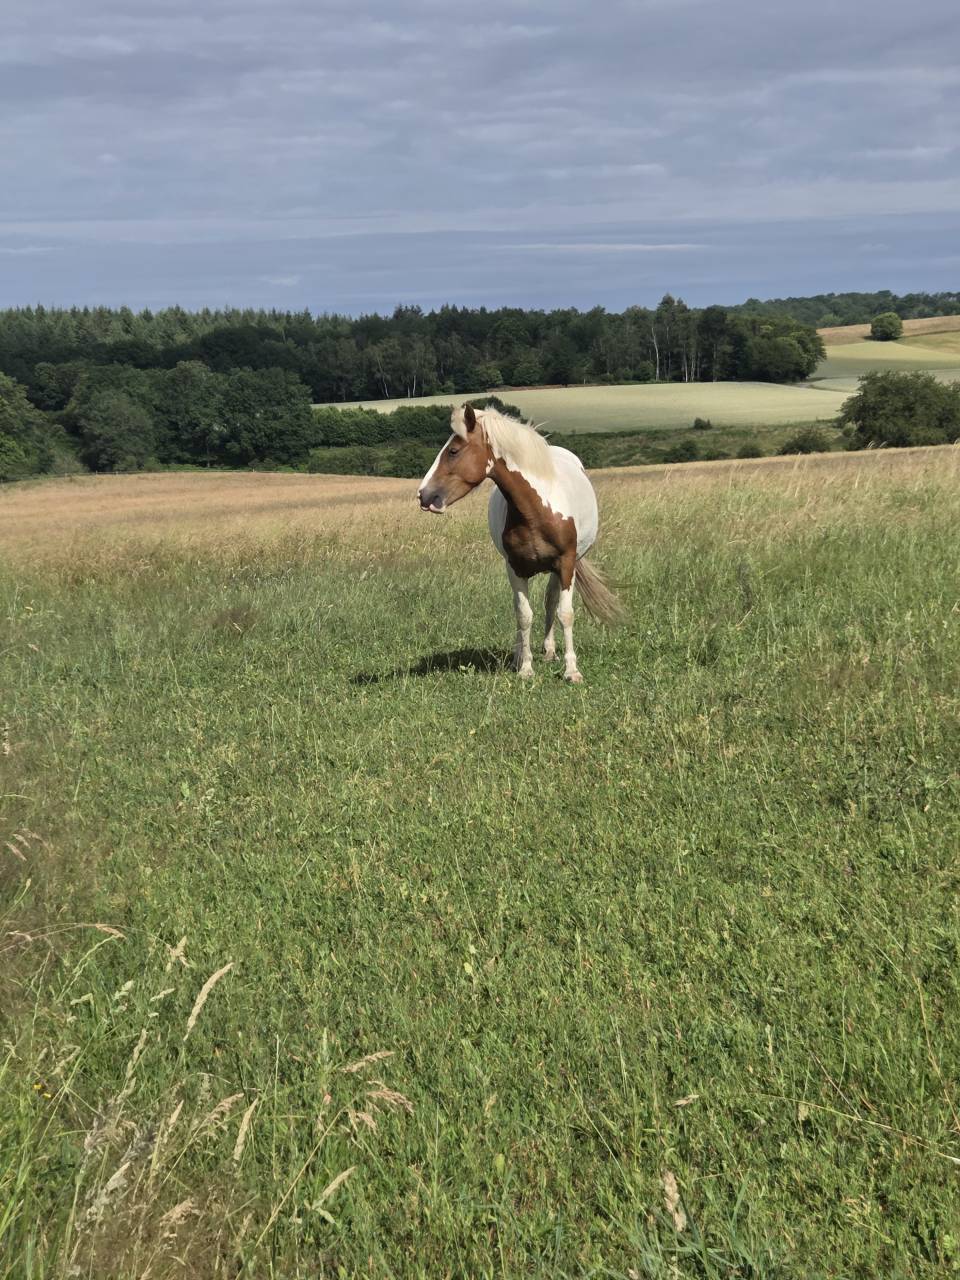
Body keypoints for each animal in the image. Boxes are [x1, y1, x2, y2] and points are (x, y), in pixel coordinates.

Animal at [417, 403, 623, 682]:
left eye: (453, 451)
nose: (423, 495)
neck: (537, 510)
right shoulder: (515, 568)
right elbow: (524, 615)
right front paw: (525, 667)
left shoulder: (566, 563)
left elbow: (565, 613)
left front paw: (571, 670)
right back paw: (520, 656)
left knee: (551, 600)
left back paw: (550, 650)